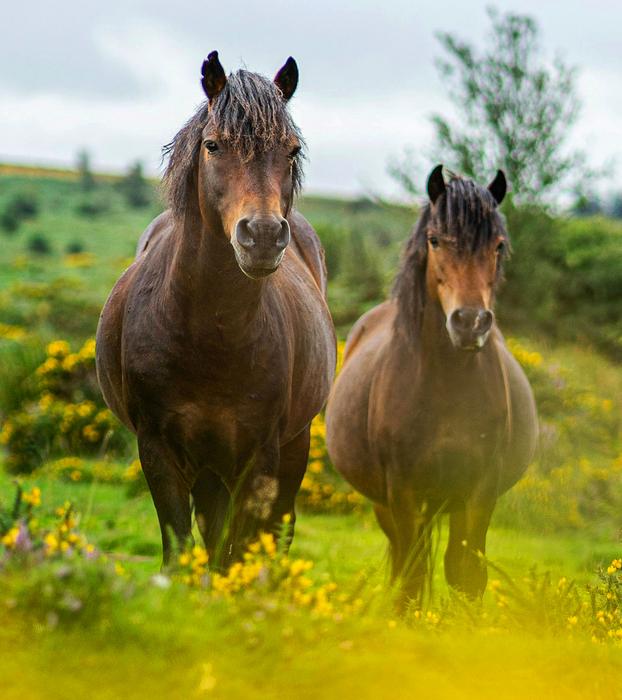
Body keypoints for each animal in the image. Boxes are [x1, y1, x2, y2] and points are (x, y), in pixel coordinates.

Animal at [96, 52, 336, 568]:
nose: (262, 235)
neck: (209, 333)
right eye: (213, 145)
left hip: (292, 447)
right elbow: (181, 550)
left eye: (291, 150)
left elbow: (239, 552)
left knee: (276, 530)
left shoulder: (260, 456)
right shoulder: (157, 450)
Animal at [326, 165, 540, 600]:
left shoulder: (479, 490)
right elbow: (411, 578)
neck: (446, 384)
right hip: (388, 505)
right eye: (435, 240)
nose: (470, 322)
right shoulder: (402, 489)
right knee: (403, 560)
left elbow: (466, 575)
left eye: (498, 246)